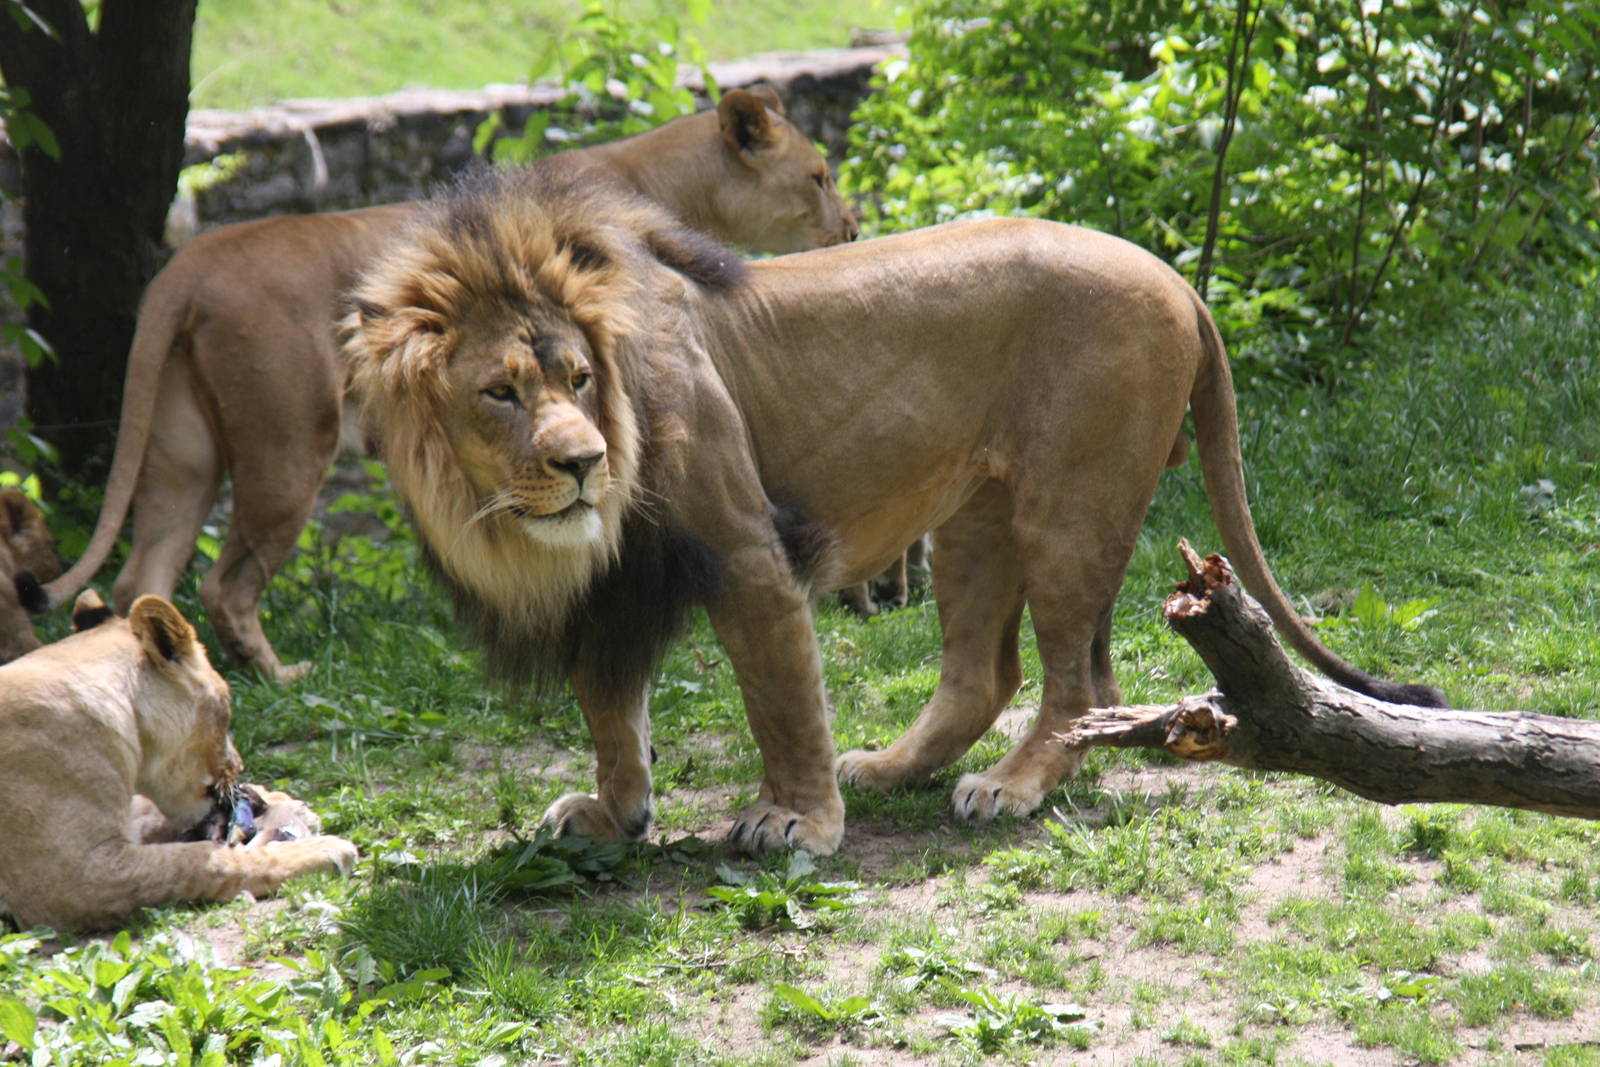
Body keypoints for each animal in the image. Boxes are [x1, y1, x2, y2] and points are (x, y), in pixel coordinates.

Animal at [0, 590, 357, 932]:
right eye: (227, 711)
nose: (239, 765)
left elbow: (153, 817)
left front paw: (285, 802)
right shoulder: (72, 880)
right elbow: (196, 861)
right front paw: (319, 851)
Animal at [28, 87, 856, 682]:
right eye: (818, 176)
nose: (852, 228)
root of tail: (186, 266)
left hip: (181, 456)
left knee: (144, 573)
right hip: (288, 446)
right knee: (225, 586)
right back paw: (284, 676)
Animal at [343, 160, 1443, 857]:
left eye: (577, 375)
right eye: (502, 391)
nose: (583, 461)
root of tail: (1174, 274)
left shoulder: (746, 549)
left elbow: (781, 698)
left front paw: (795, 821)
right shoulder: (608, 595)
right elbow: (611, 715)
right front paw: (616, 815)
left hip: (1069, 505)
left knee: (1079, 676)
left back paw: (1010, 787)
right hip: (974, 517)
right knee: (984, 671)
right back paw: (889, 767)